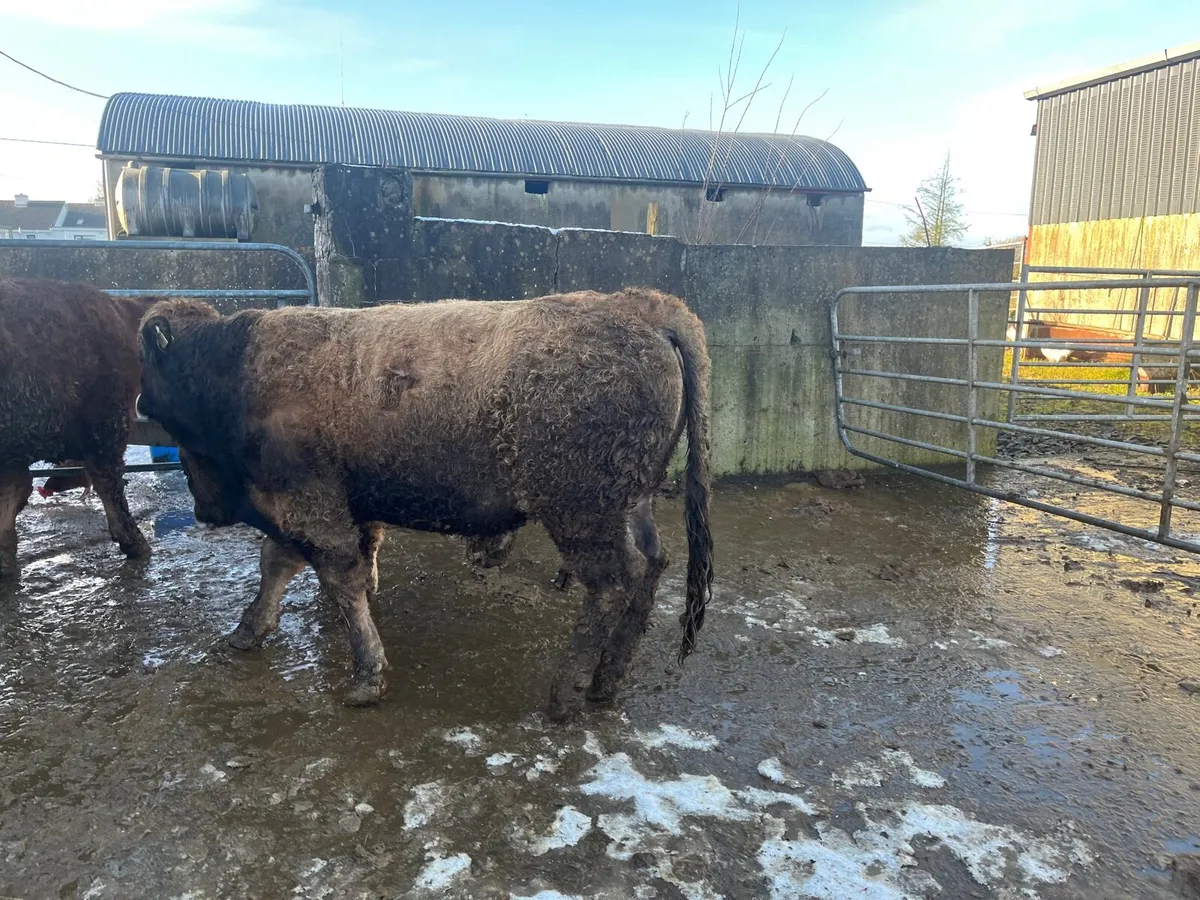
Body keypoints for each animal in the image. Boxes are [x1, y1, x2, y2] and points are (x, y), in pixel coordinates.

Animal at [135, 287, 714, 720]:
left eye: (150, 363)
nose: (138, 398)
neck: (237, 365)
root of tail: (641, 309)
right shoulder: (328, 505)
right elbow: (279, 562)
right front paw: (247, 631)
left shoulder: (307, 503)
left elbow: (335, 575)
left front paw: (366, 676)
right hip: (629, 502)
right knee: (651, 563)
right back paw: (607, 679)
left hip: (581, 513)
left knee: (613, 581)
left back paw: (566, 694)